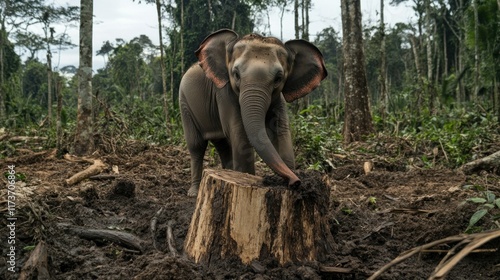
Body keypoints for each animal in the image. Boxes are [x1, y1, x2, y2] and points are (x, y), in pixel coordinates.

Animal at [180, 27, 328, 195]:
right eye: (236, 74)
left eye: (278, 78)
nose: (296, 182)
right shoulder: (224, 93)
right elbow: (239, 134)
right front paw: (247, 177)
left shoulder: (278, 99)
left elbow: (281, 132)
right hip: (184, 104)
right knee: (196, 145)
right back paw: (194, 191)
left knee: (222, 144)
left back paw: (227, 172)